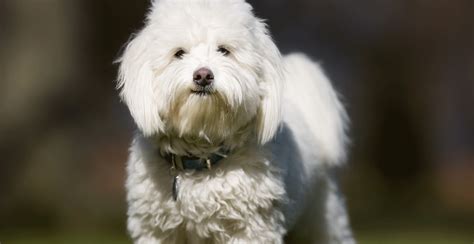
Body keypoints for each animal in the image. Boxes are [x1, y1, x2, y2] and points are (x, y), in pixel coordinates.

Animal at [117, 0, 356, 242]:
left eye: (224, 50)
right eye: (179, 53)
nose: (203, 75)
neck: (203, 156)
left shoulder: (252, 229)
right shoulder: (155, 230)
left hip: (322, 218)